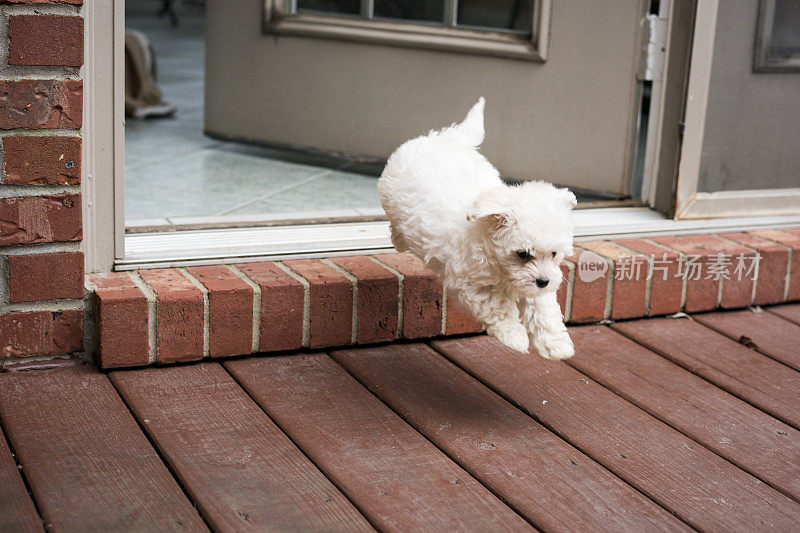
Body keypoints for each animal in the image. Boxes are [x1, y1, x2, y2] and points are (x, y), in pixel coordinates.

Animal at [380, 97, 576, 360]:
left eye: (554, 254)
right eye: (522, 254)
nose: (543, 281)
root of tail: (445, 137)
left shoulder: (534, 286)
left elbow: (543, 309)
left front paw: (556, 344)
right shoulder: (472, 285)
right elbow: (498, 308)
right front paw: (515, 337)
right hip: (391, 197)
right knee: (396, 223)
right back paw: (399, 239)